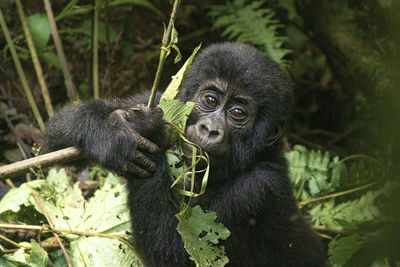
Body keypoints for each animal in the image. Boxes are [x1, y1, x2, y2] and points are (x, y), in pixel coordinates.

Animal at [45, 43, 324, 266]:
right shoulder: (158, 100)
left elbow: (177, 255)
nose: (209, 129)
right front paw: (111, 137)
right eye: (210, 100)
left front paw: (151, 132)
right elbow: (55, 138)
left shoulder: (257, 189)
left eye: (238, 113)